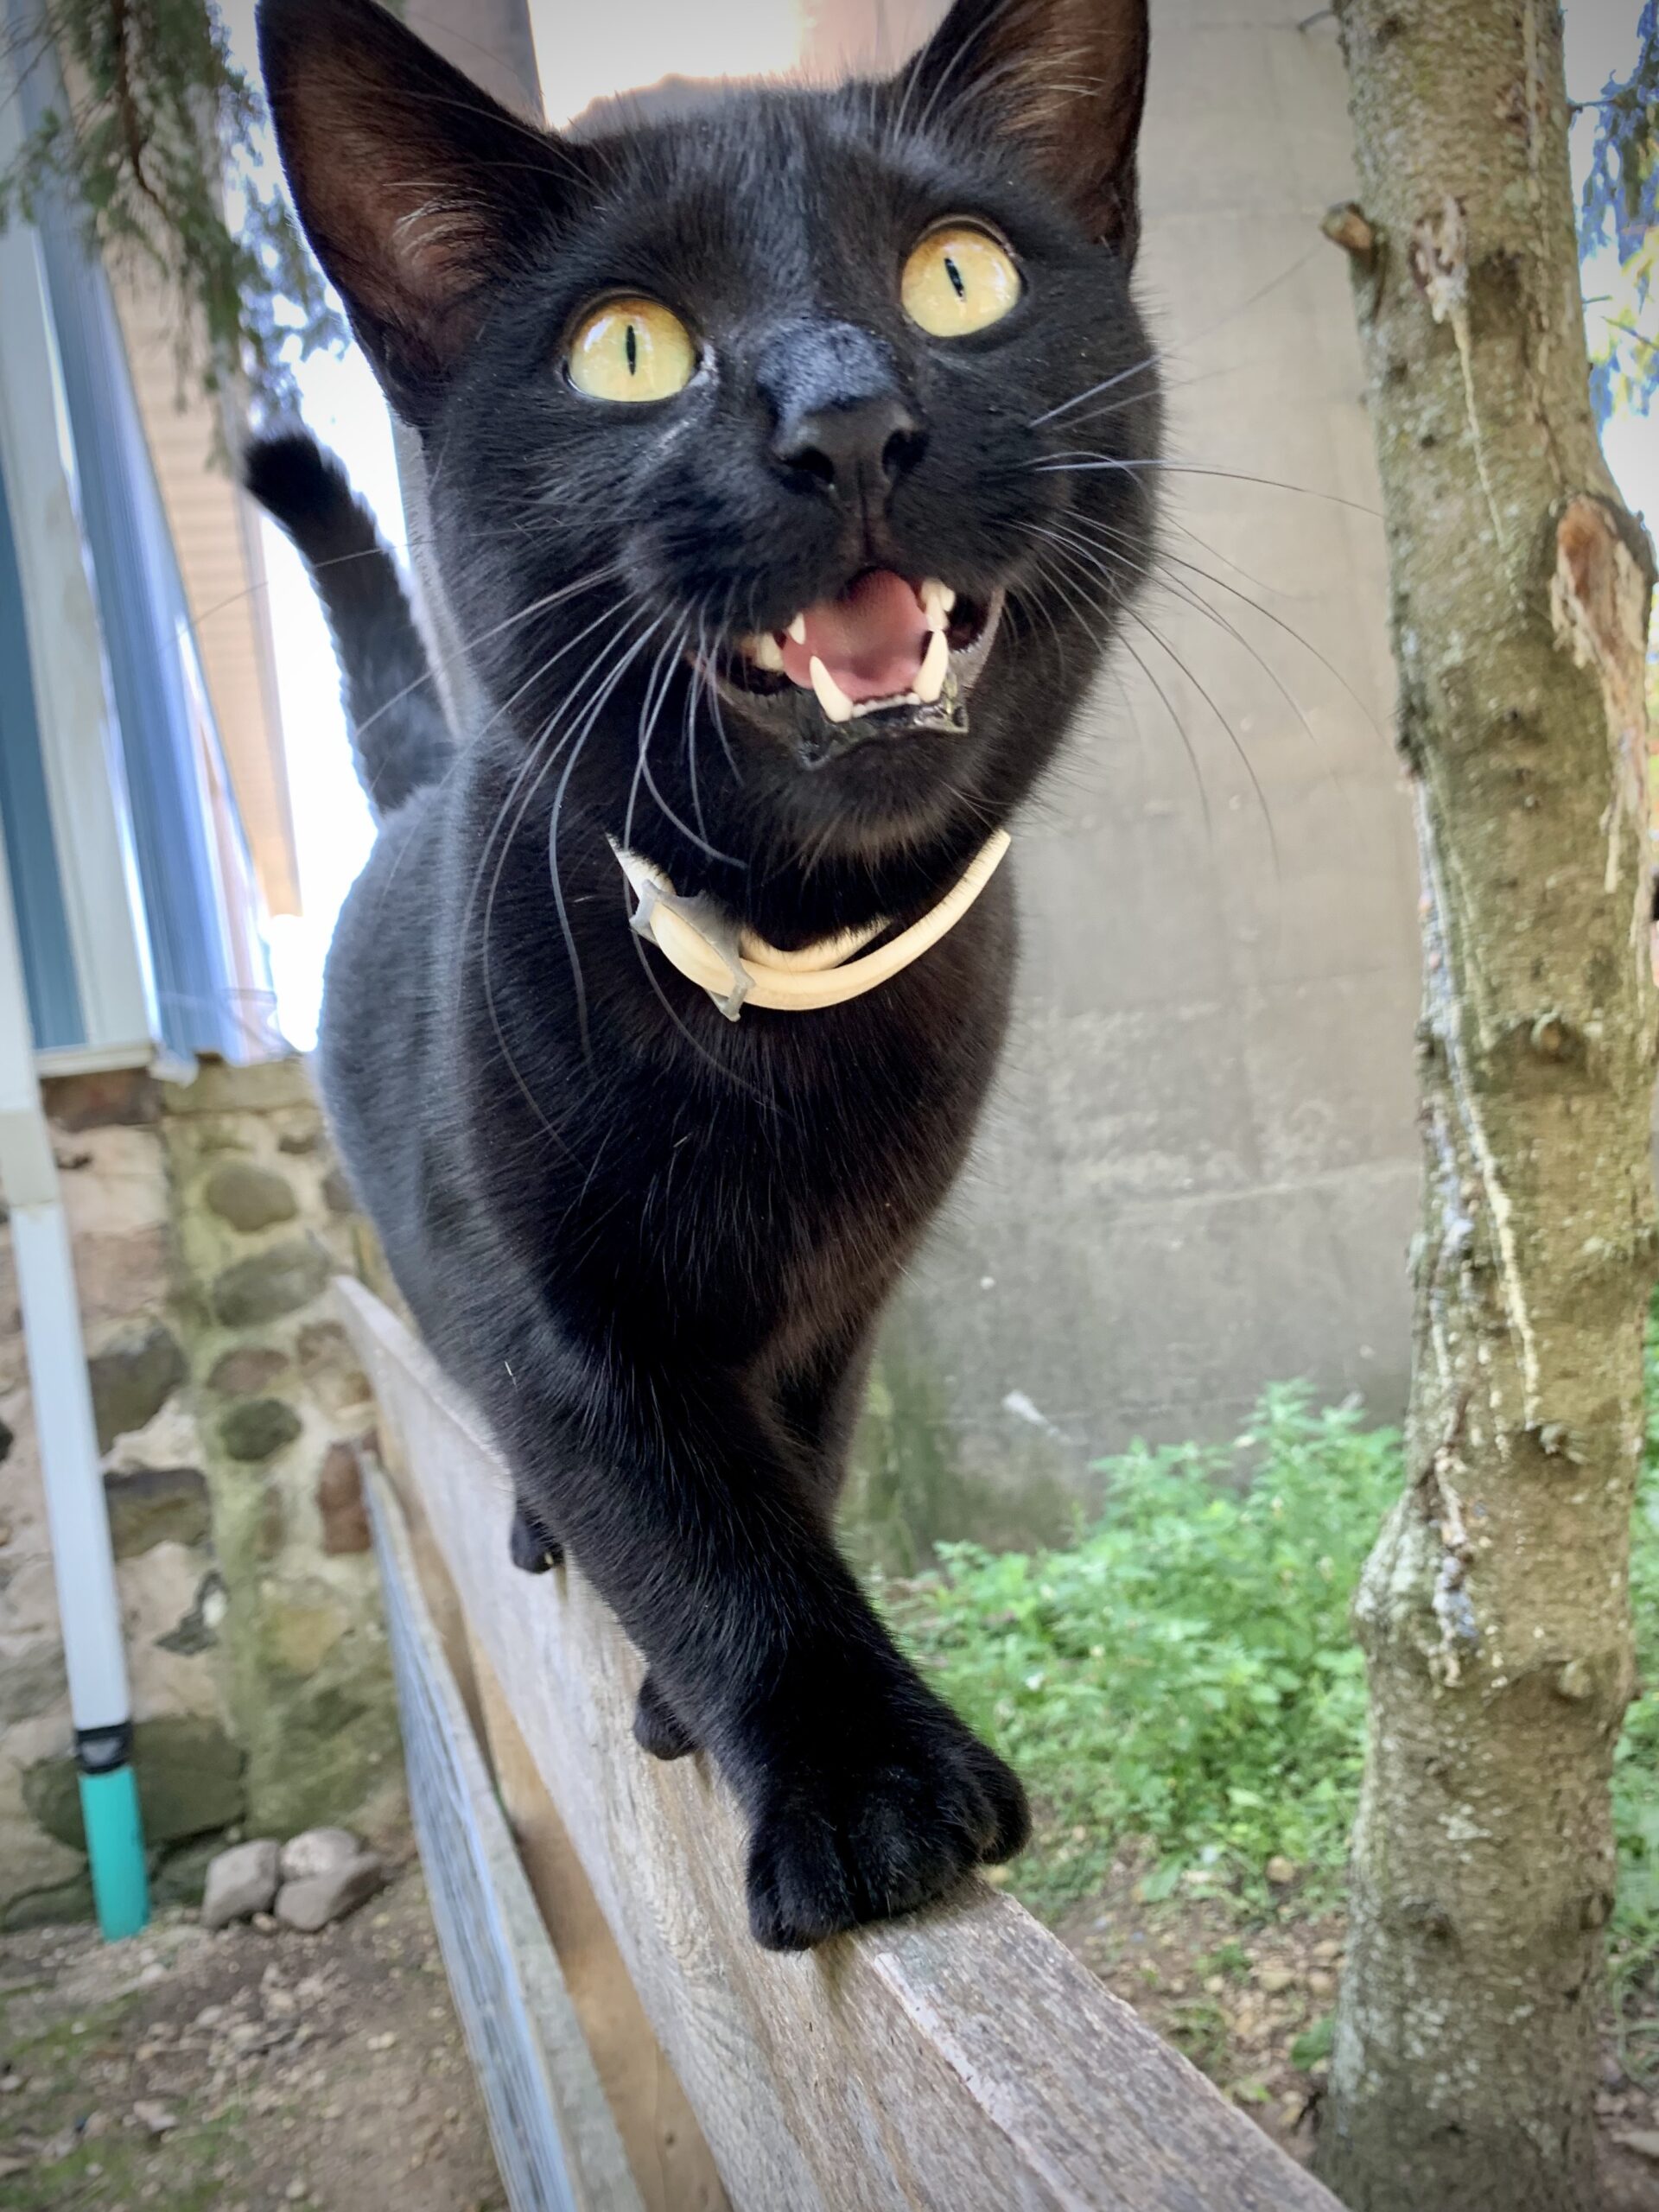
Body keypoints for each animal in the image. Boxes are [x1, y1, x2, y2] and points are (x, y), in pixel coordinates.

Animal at [250, 0, 1159, 1946]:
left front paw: (720, 1710)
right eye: (629, 347)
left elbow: (788, 1476)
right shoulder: (547, 1309)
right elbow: (688, 1514)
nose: (848, 418)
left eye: (958, 275)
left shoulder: (842, 1301)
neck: (780, 986)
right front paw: (862, 1783)